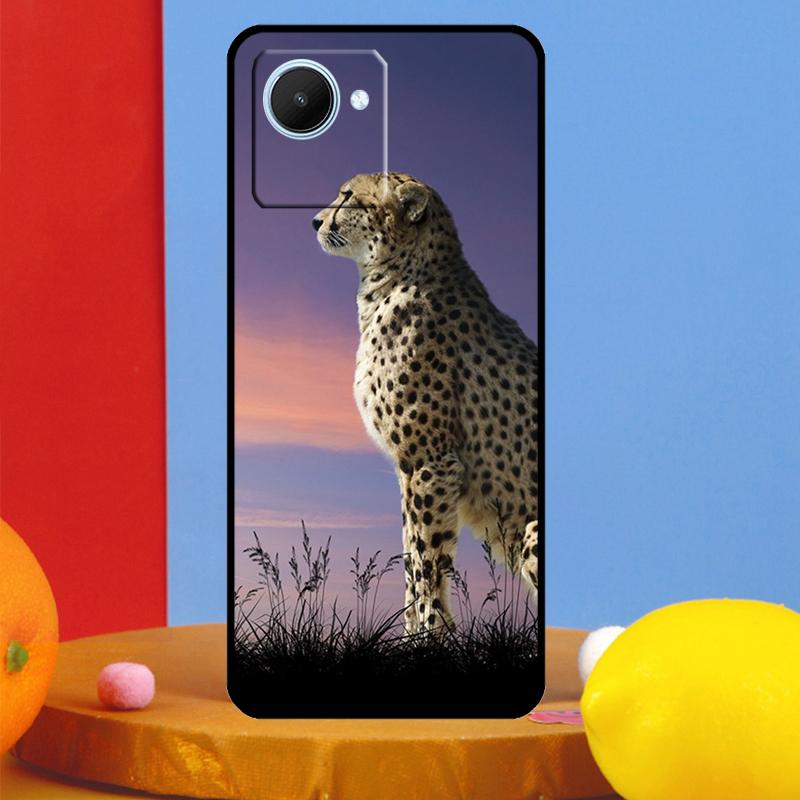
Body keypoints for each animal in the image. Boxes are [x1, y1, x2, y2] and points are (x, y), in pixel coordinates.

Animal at [313, 172, 539, 633]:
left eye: (348, 196)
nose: (315, 221)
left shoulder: (429, 461)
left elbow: (427, 560)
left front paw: (430, 634)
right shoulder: (409, 469)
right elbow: (410, 557)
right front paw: (410, 634)